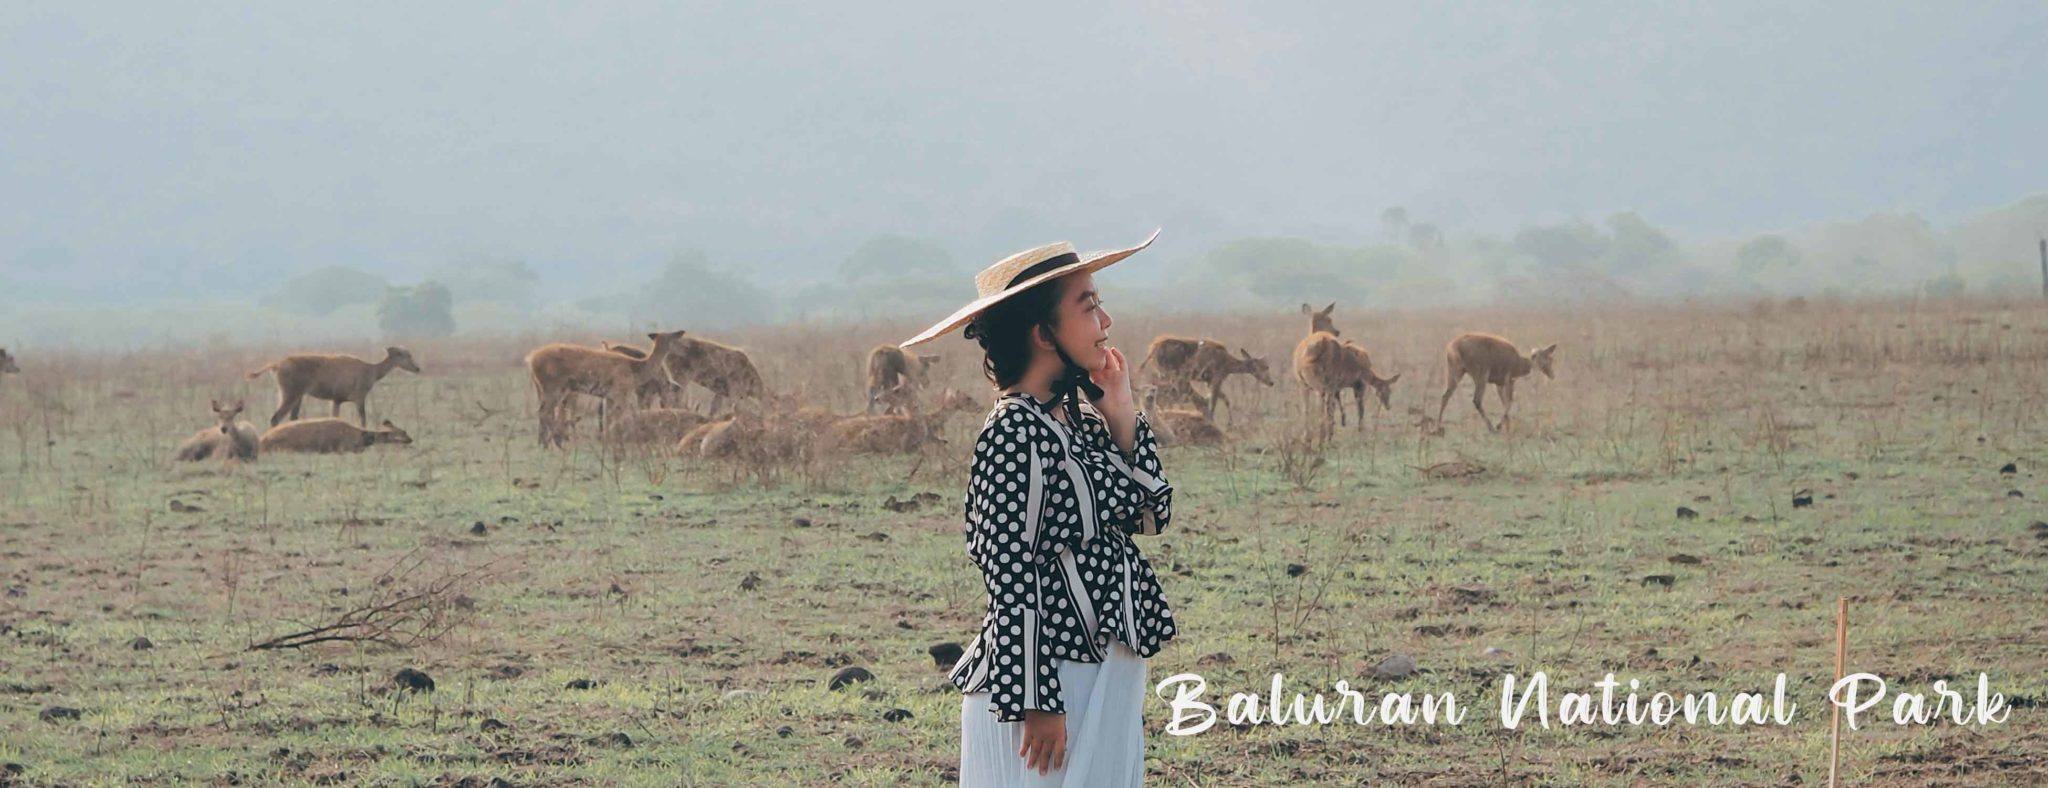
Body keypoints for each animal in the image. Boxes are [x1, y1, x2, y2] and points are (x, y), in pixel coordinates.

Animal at [249, 347, 421, 425]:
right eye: (404, 355)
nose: (417, 368)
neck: (371, 370)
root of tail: (277, 364)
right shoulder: (360, 396)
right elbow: (363, 418)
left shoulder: (336, 400)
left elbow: (335, 417)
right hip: (290, 394)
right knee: (275, 418)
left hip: (296, 396)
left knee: (292, 418)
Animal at [528, 327, 688, 446]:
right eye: (676, 339)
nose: (684, 351)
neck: (636, 370)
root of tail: (531, 359)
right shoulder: (620, 392)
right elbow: (618, 417)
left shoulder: (610, 396)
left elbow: (608, 417)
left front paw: (608, 441)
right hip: (554, 386)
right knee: (544, 412)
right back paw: (553, 443)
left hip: (545, 388)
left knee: (544, 411)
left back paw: (545, 442)